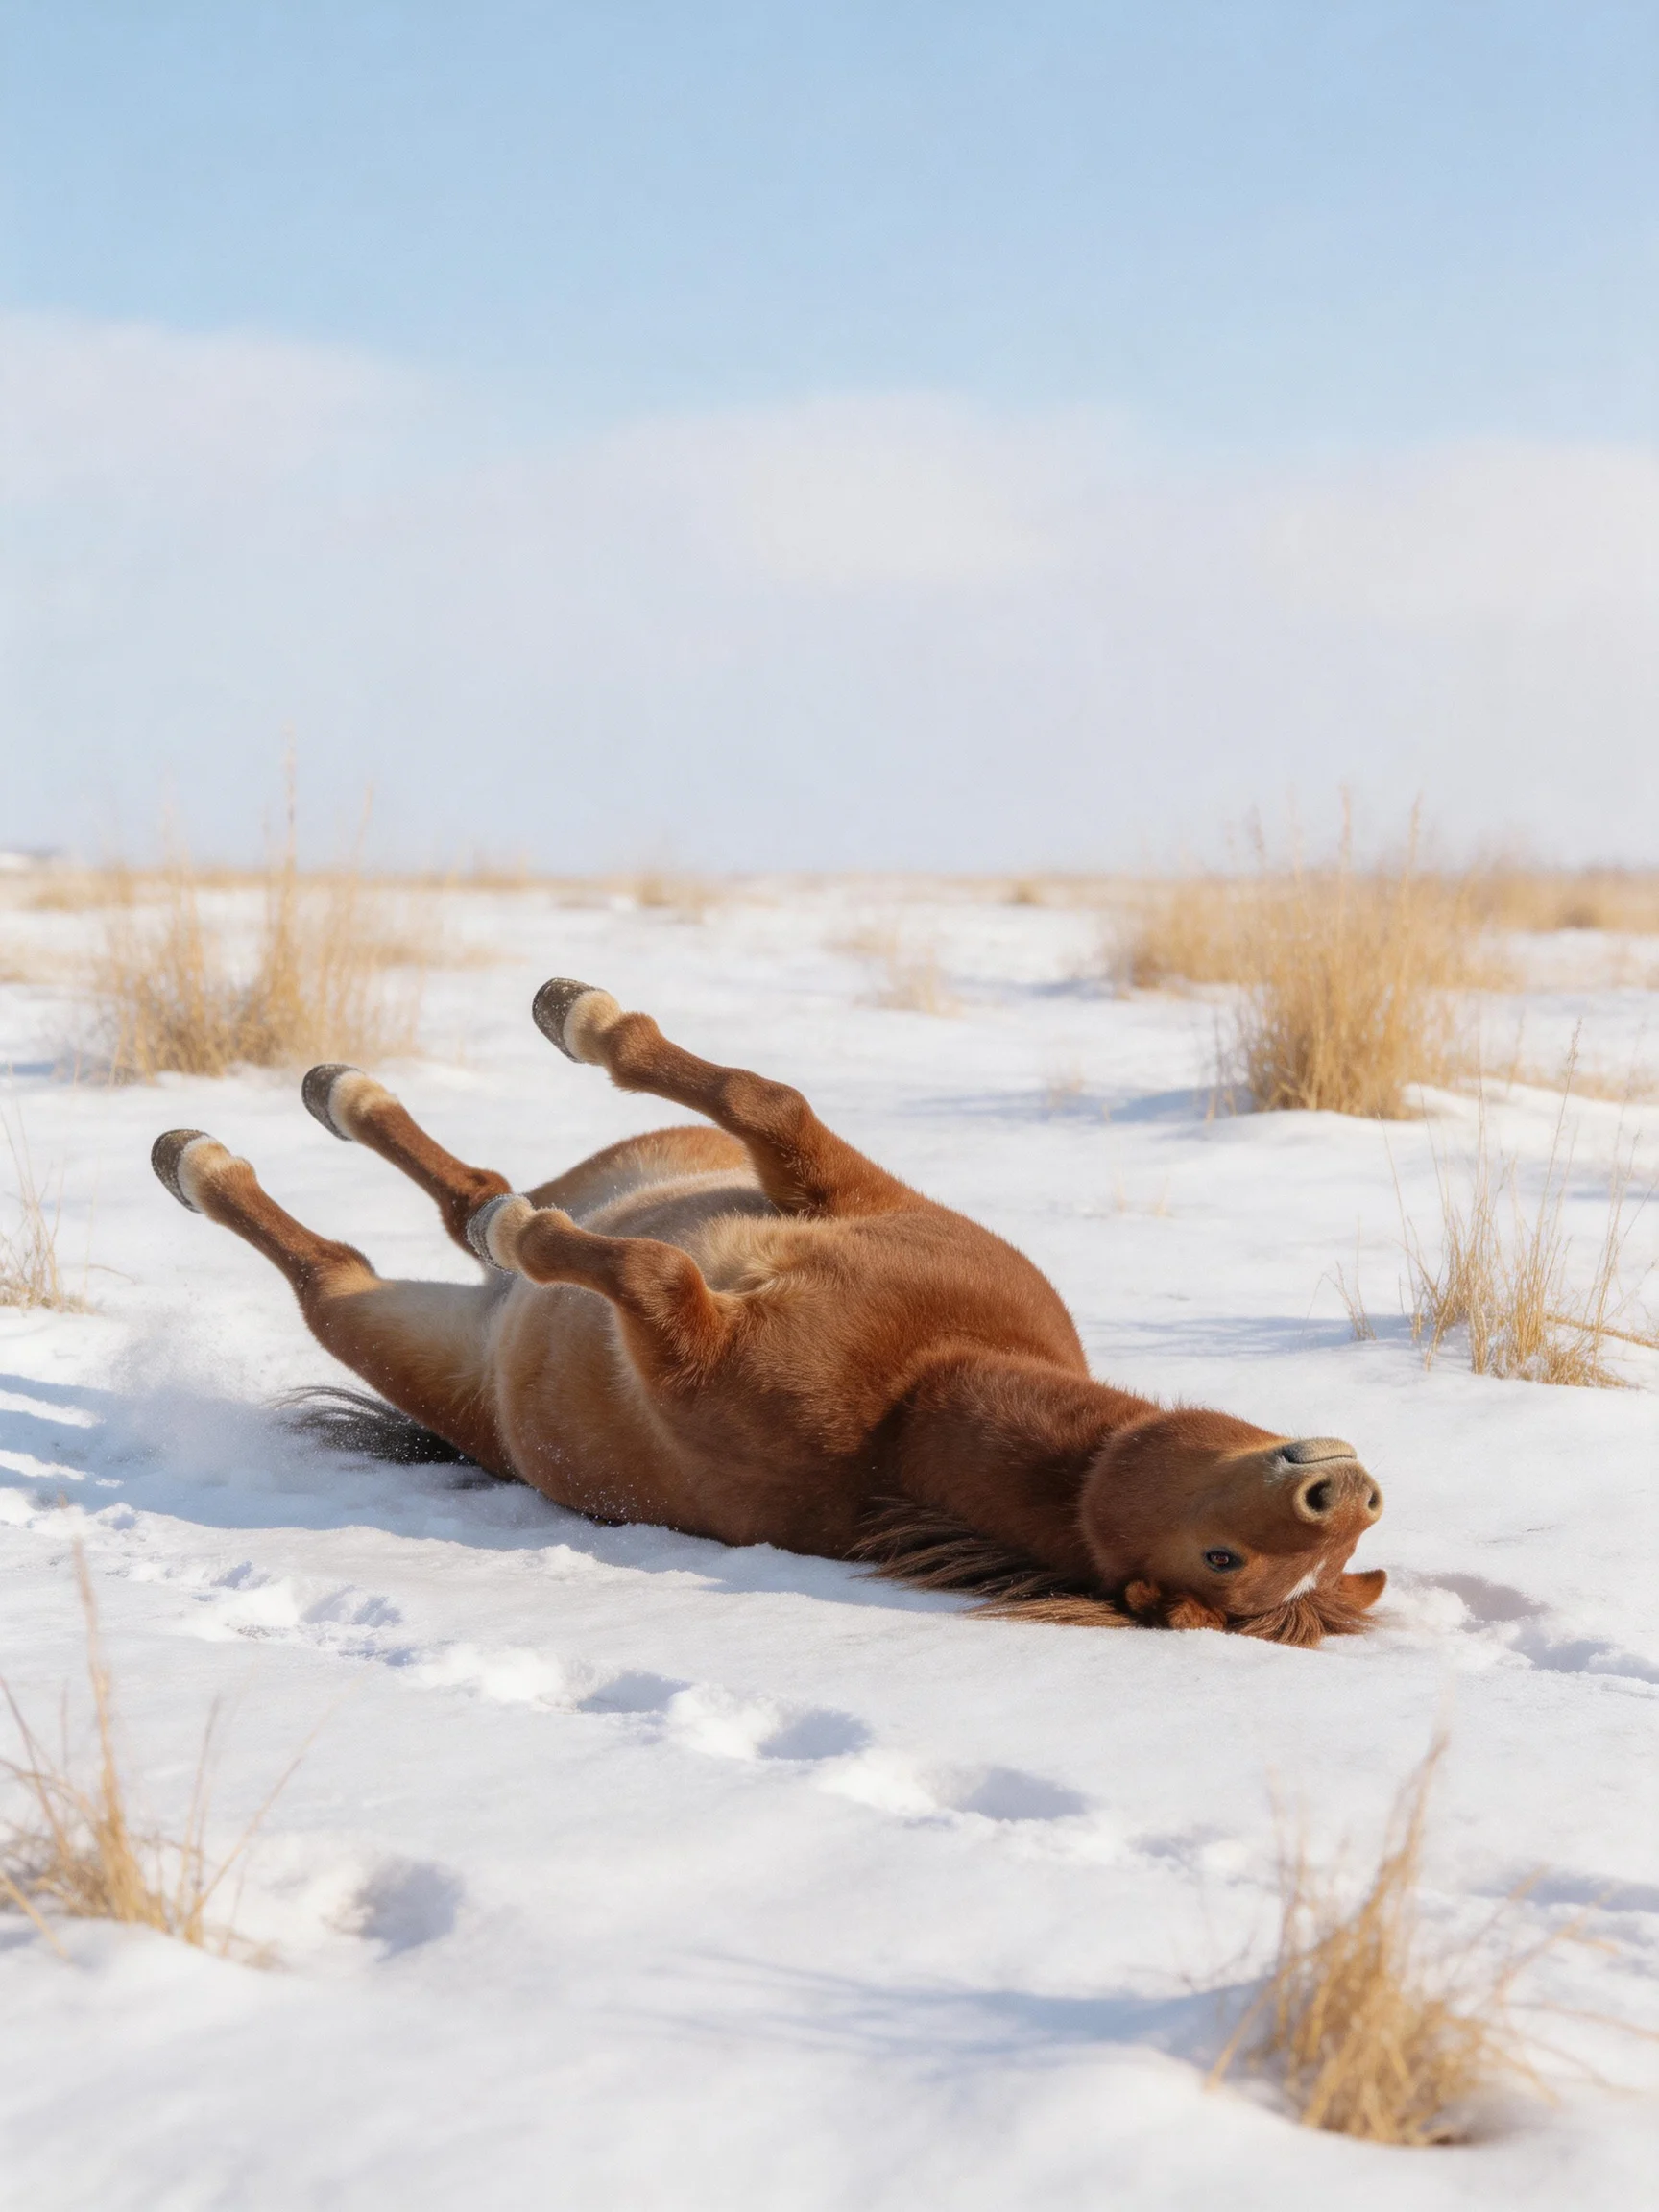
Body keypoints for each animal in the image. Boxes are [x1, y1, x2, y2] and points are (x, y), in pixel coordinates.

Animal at [150, 977, 1386, 1645]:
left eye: (1226, 1565)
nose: (1346, 1490)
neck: (921, 1383)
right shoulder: (849, 1193)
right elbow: (765, 1099)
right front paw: (579, 1016)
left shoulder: (686, 1355)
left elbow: (647, 1272)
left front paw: (534, 1237)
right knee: (464, 1190)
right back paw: (342, 1094)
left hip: (400, 1338)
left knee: (345, 1266)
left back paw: (214, 1164)